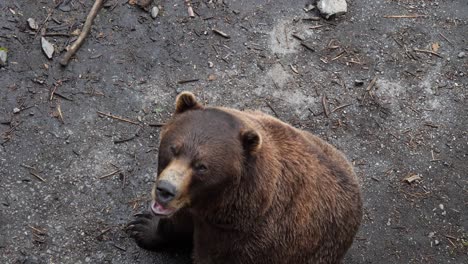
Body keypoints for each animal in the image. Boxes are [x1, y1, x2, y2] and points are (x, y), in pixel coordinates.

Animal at [129, 92, 366, 262]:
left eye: (202, 166)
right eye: (173, 148)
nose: (165, 190)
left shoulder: (244, 241)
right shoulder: (196, 209)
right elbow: (175, 223)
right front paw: (142, 226)